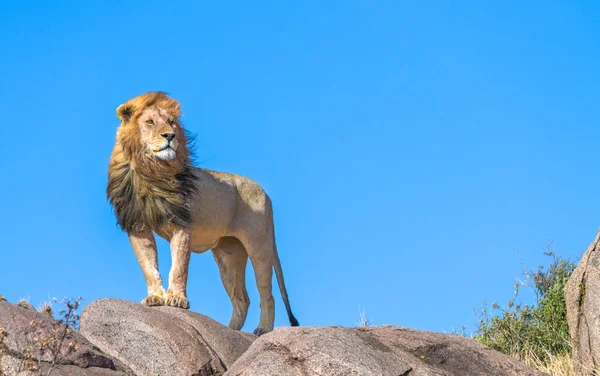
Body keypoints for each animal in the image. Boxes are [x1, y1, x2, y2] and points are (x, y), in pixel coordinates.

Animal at [106, 91, 298, 334]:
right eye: (150, 122)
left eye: (171, 122)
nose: (170, 136)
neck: (152, 171)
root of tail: (266, 193)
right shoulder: (137, 225)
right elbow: (148, 266)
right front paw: (155, 298)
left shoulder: (182, 223)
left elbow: (179, 266)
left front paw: (177, 299)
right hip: (228, 255)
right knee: (241, 299)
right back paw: (230, 330)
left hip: (259, 244)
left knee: (267, 293)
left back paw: (263, 329)